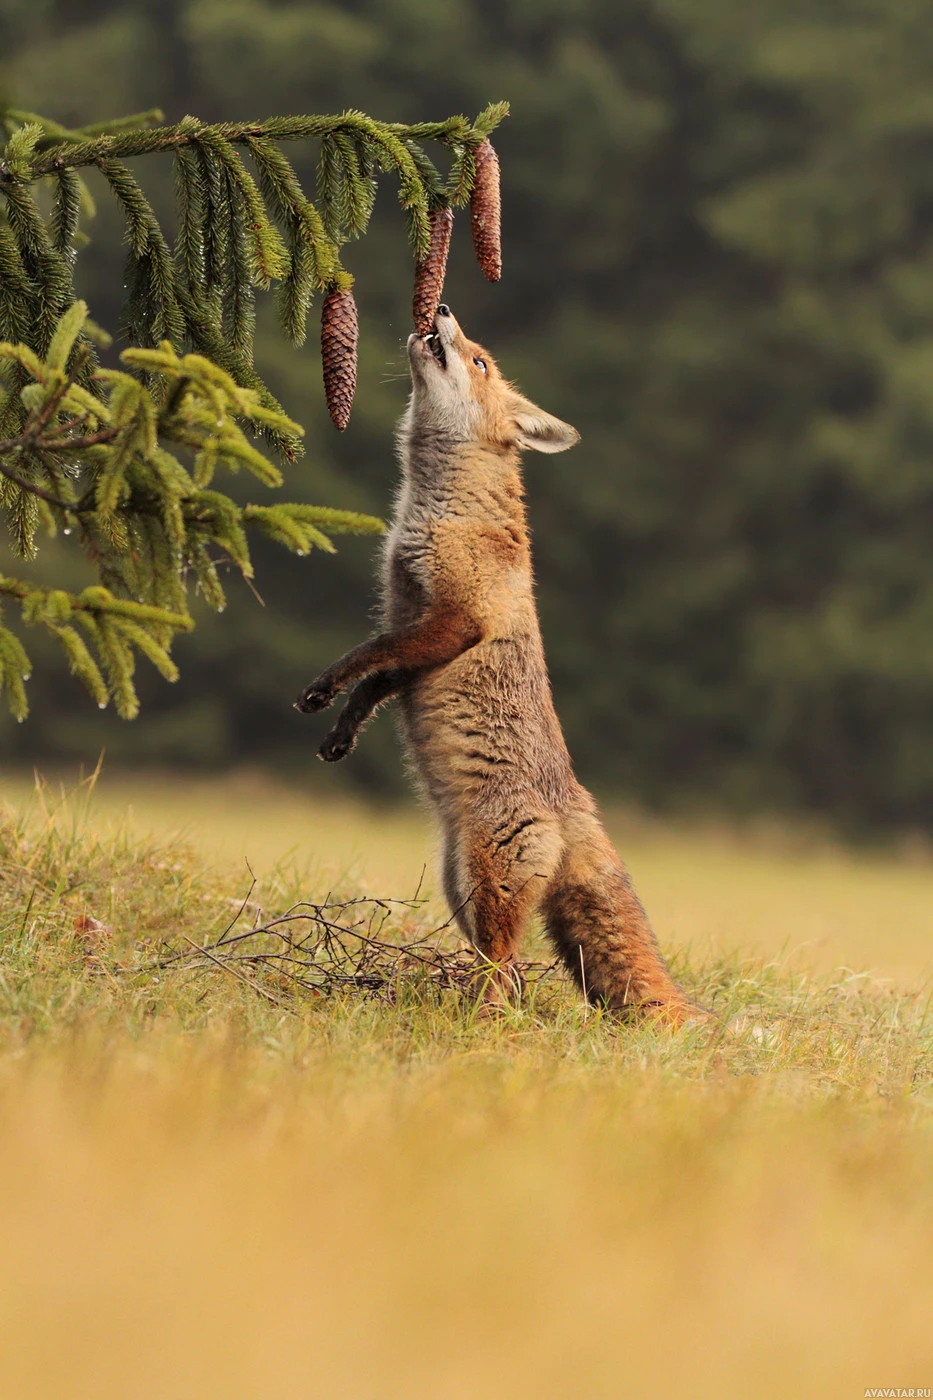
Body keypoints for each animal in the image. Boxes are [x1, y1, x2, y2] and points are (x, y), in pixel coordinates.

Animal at [298, 306, 697, 1024]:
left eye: (479, 361)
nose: (440, 311)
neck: (438, 508)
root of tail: (576, 801)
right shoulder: (414, 625)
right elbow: (376, 683)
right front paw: (341, 733)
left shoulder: (455, 620)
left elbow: (365, 659)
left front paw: (322, 688)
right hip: (458, 887)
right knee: (507, 976)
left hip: (488, 888)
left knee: (502, 970)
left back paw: (474, 1025)